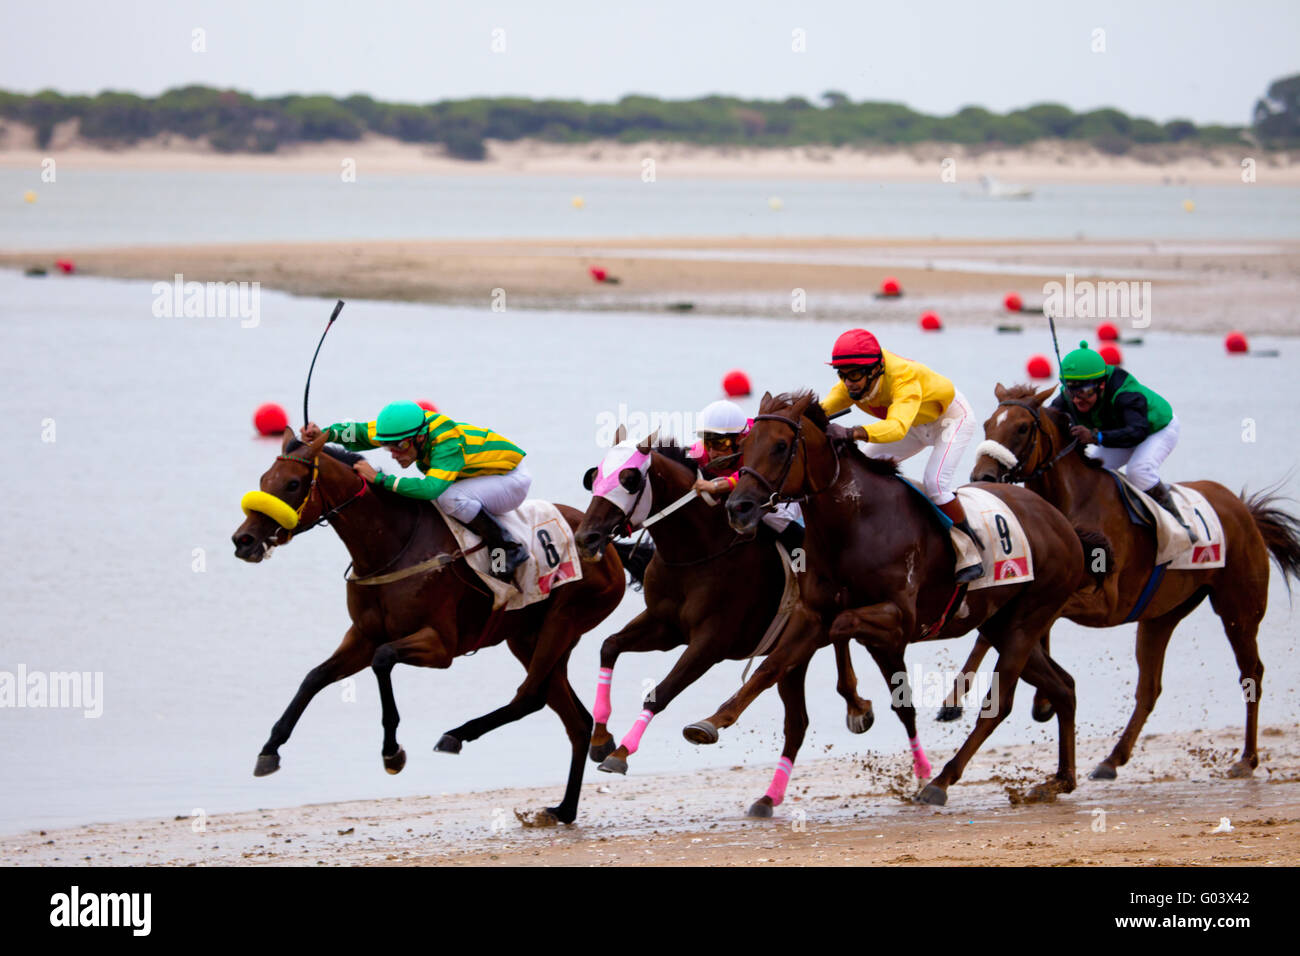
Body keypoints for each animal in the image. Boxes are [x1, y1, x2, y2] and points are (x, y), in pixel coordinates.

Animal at [232, 429, 624, 827]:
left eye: (293, 484)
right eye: (264, 480)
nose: (243, 540)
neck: (393, 545)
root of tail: (606, 546)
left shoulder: (440, 646)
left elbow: (383, 660)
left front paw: (392, 752)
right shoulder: (362, 637)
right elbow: (314, 677)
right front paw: (269, 750)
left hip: (563, 621)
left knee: (529, 697)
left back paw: (456, 735)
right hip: (528, 638)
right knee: (576, 721)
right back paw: (565, 808)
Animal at [577, 434, 873, 816]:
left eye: (629, 479)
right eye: (595, 477)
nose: (586, 538)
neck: (699, 552)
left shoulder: (711, 642)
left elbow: (662, 692)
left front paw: (620, 753)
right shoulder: (664, 626)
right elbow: (609, 646)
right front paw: (601, 739)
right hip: (795, 656)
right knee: (797, 721)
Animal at [681, 390, 1097, 806]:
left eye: (781, 446)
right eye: (747, 445)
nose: (738, 508)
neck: (856, 521)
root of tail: (1060, 521)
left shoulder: (900, 619)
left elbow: (840, 625)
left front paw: (857, 704)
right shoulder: (811, 610)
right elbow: (771, 665)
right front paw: (711, 722)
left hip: (1028, 618)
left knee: (999, 706)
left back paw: (940, 782)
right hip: (1001, 622)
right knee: (1064, 686)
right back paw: (1060, 779)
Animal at [967, 385, 1300, 780]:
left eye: (1021, 428)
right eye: (988, 424)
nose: (983, 477)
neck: (1073, 500)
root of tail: (1244, 510)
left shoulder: (1104, 603)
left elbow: (1022, 625)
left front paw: (1038, 699)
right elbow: (1005, 630)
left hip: (1238, 610)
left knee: (1252, 674)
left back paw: (1247, 759)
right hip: (1161, 616)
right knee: (1149, 688)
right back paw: (1112, 759)